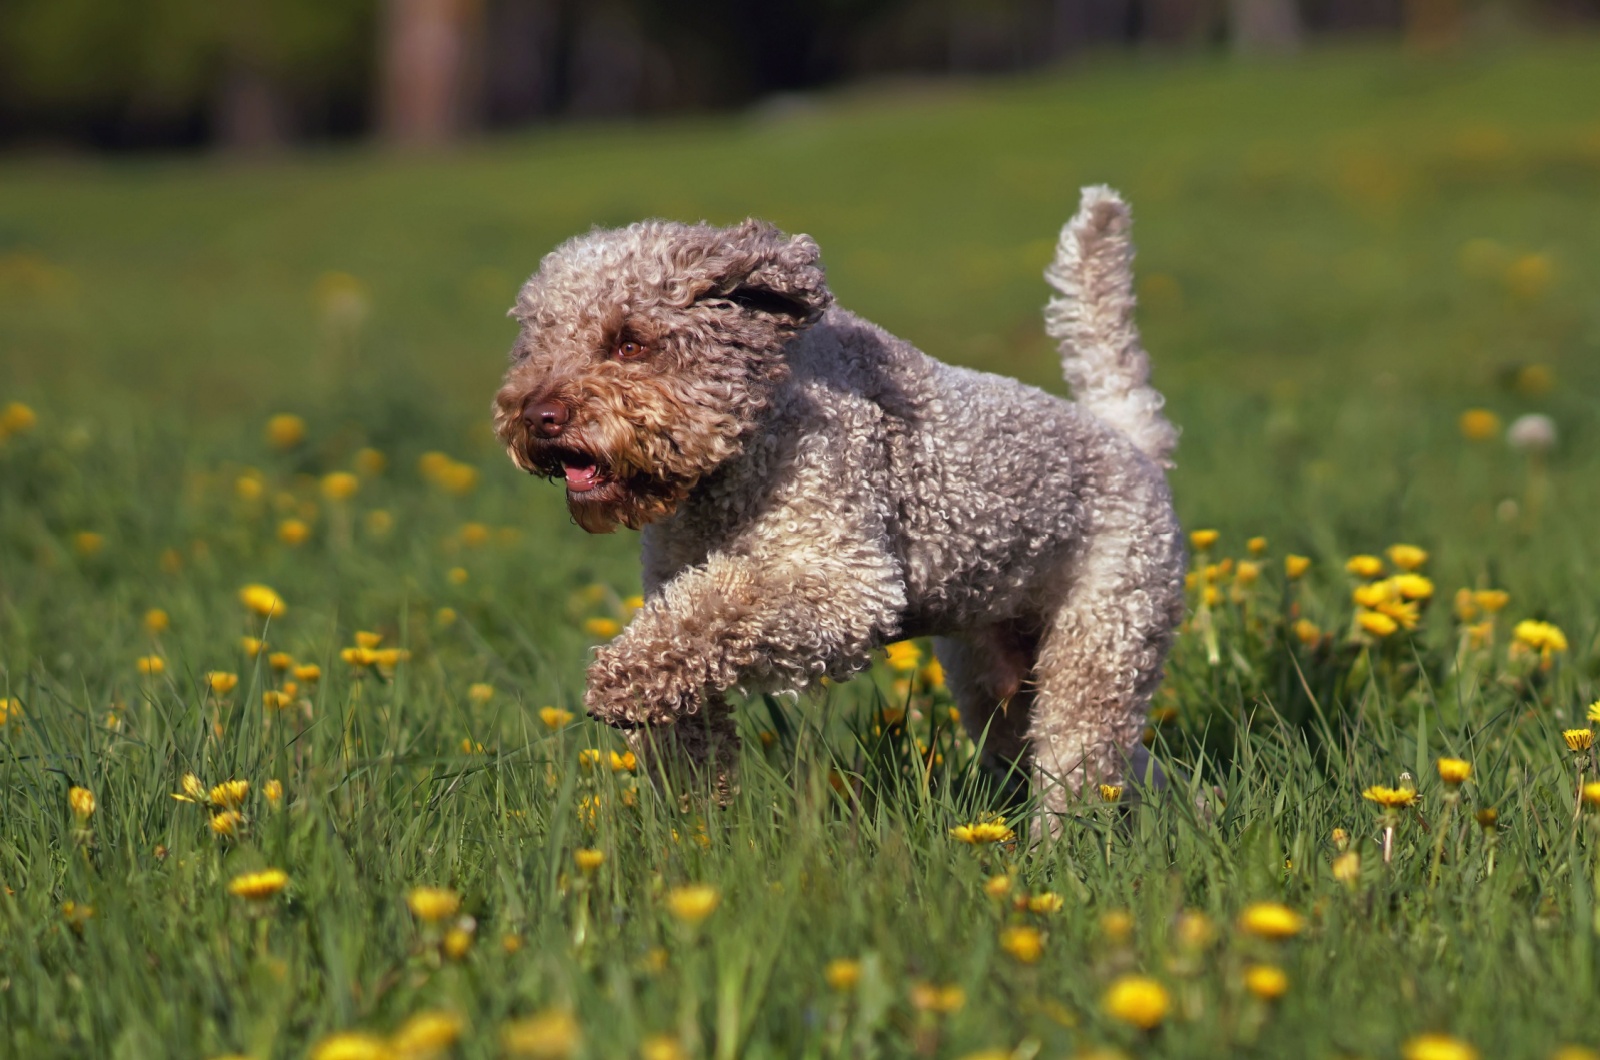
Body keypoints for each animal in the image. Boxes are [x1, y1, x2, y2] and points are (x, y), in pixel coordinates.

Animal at [492, 186, 1184, 816]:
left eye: (630, 342)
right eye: (535, 345)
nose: (537, 417)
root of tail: (1133, 441)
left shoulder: (846, 581)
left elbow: (725, 606)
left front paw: (624, 677)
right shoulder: (672, 582)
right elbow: (688, 688)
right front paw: (698, 823)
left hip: (1102, 638)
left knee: (1079, 765)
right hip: (998, 680)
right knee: (1126, 766)